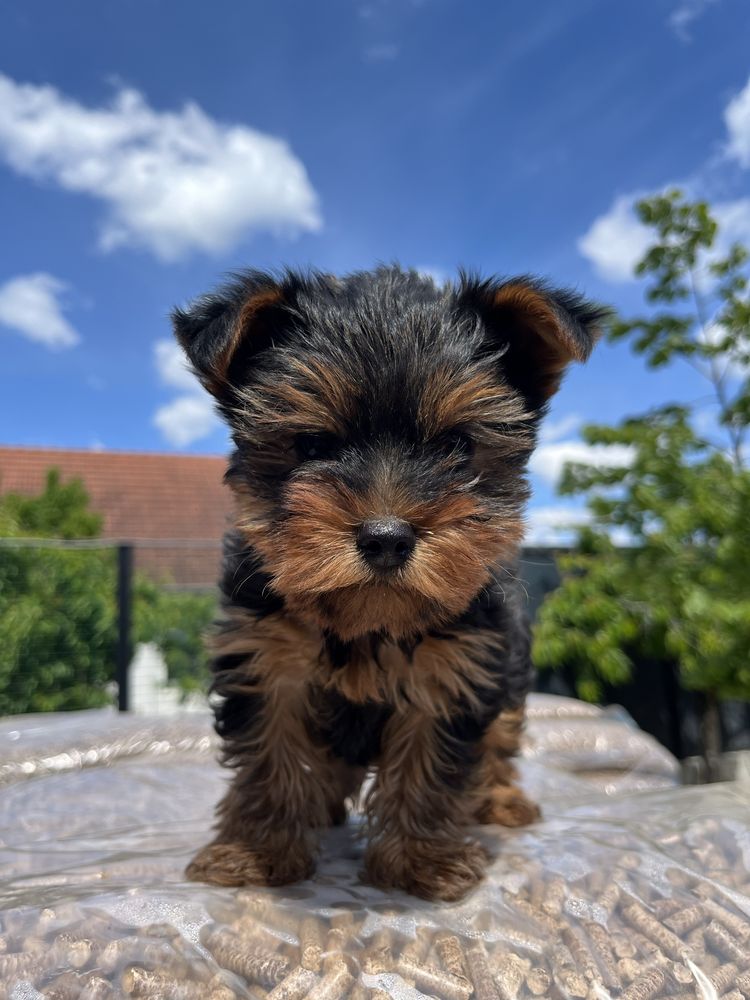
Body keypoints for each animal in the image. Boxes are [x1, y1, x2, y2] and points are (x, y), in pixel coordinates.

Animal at [176, 264, 604, 900]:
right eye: (313, 445)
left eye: (456, 446)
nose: (386, 536)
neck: (368, 620)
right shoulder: (264, 658)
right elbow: (270, 756)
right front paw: (257, 852)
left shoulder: (456, 667)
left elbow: (431, 761)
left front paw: (417, 861)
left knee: (502, 736)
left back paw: (502, 801)